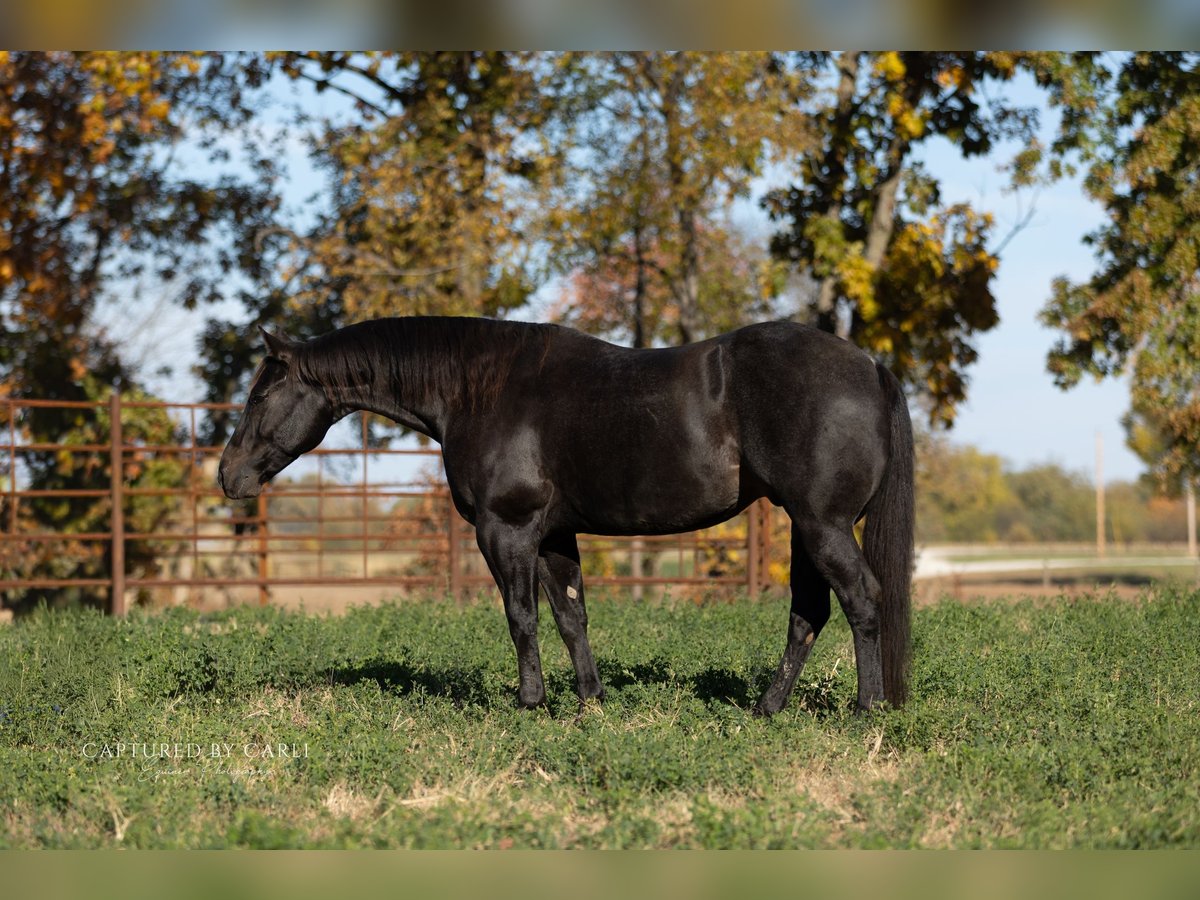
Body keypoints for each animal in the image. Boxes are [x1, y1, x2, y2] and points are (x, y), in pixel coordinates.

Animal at [218, 317, 914, 715]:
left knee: (862, 600)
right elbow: (571, 615)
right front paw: (589, 700)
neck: (483, 388)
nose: (228, 476)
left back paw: (867, 711)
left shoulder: (506, 530)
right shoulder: (554, 534)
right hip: (805, 526)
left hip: (823, 524)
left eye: (259, 393)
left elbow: (521, 616)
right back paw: (769, 708)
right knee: (809, 613)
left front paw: (530, 702)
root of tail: (870, 365)